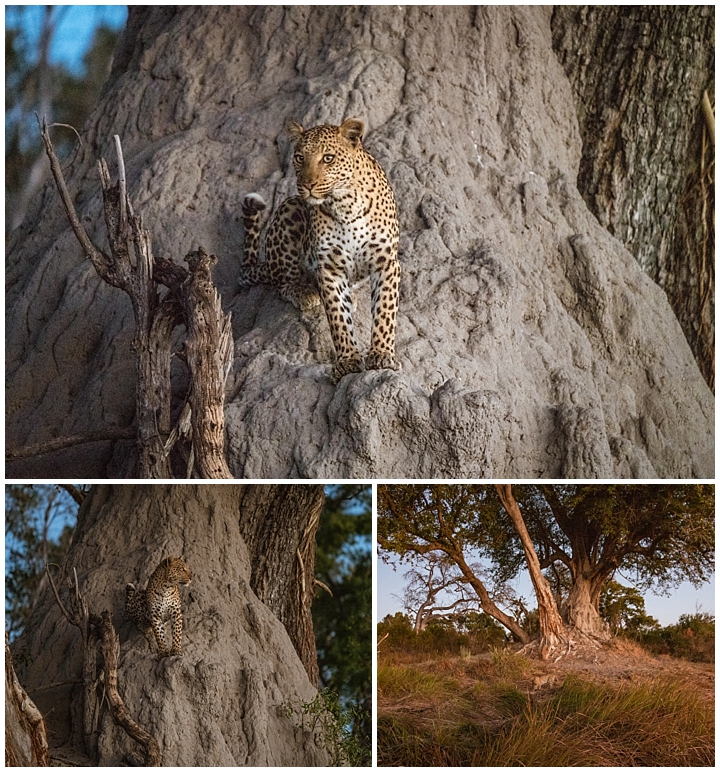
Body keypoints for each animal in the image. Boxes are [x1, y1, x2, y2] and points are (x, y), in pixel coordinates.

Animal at [240, 117, 400, 382]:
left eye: (328, 158)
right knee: (283, 283)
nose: (307, 185)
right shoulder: (330, 267)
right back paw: (305, 292)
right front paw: (347, 361)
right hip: (290, 208)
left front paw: (381, 354)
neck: (346, 204)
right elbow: (337, 317)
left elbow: (385, 311)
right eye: (299, 157)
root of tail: (268, 263)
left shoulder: (386, 261)